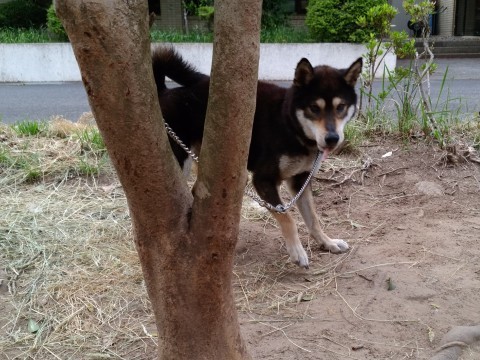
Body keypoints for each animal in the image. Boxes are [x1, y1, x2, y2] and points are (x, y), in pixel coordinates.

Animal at [152, 47, 362, 268]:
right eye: (314, 108)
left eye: (340, 107)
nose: (332, 138)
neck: (290, 124)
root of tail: (165, 90)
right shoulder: (263, 180)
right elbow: (288, 217)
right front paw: (297, 251)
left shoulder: (301, 181)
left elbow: (313, 219)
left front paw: (327, 242)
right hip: (181, 160)